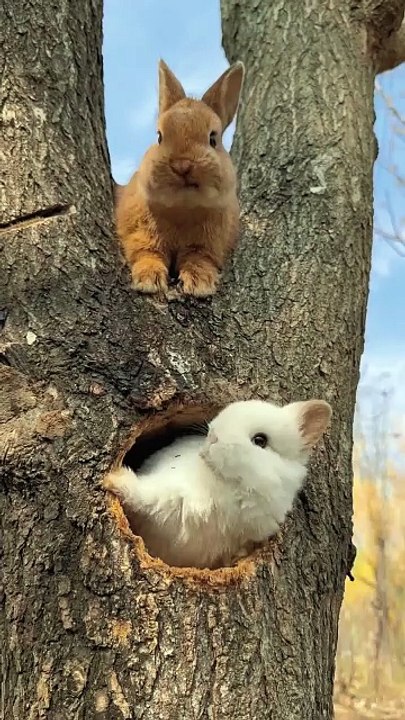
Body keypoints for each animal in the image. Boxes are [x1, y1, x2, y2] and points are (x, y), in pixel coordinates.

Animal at [103, 398, 332, 569]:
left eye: (260, 440)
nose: (213, 436)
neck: (226, 488)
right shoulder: (168, 494)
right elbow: (142, 495)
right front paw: (112, 479)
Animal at [115, 59, 245, 297]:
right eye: (159, 136)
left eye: (213, 139)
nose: (182, 165)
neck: (183, 207)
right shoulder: (141, 236)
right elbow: (148, 254)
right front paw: (148, 281)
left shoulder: (206, 246)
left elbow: (198, 259)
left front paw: (200, 284)